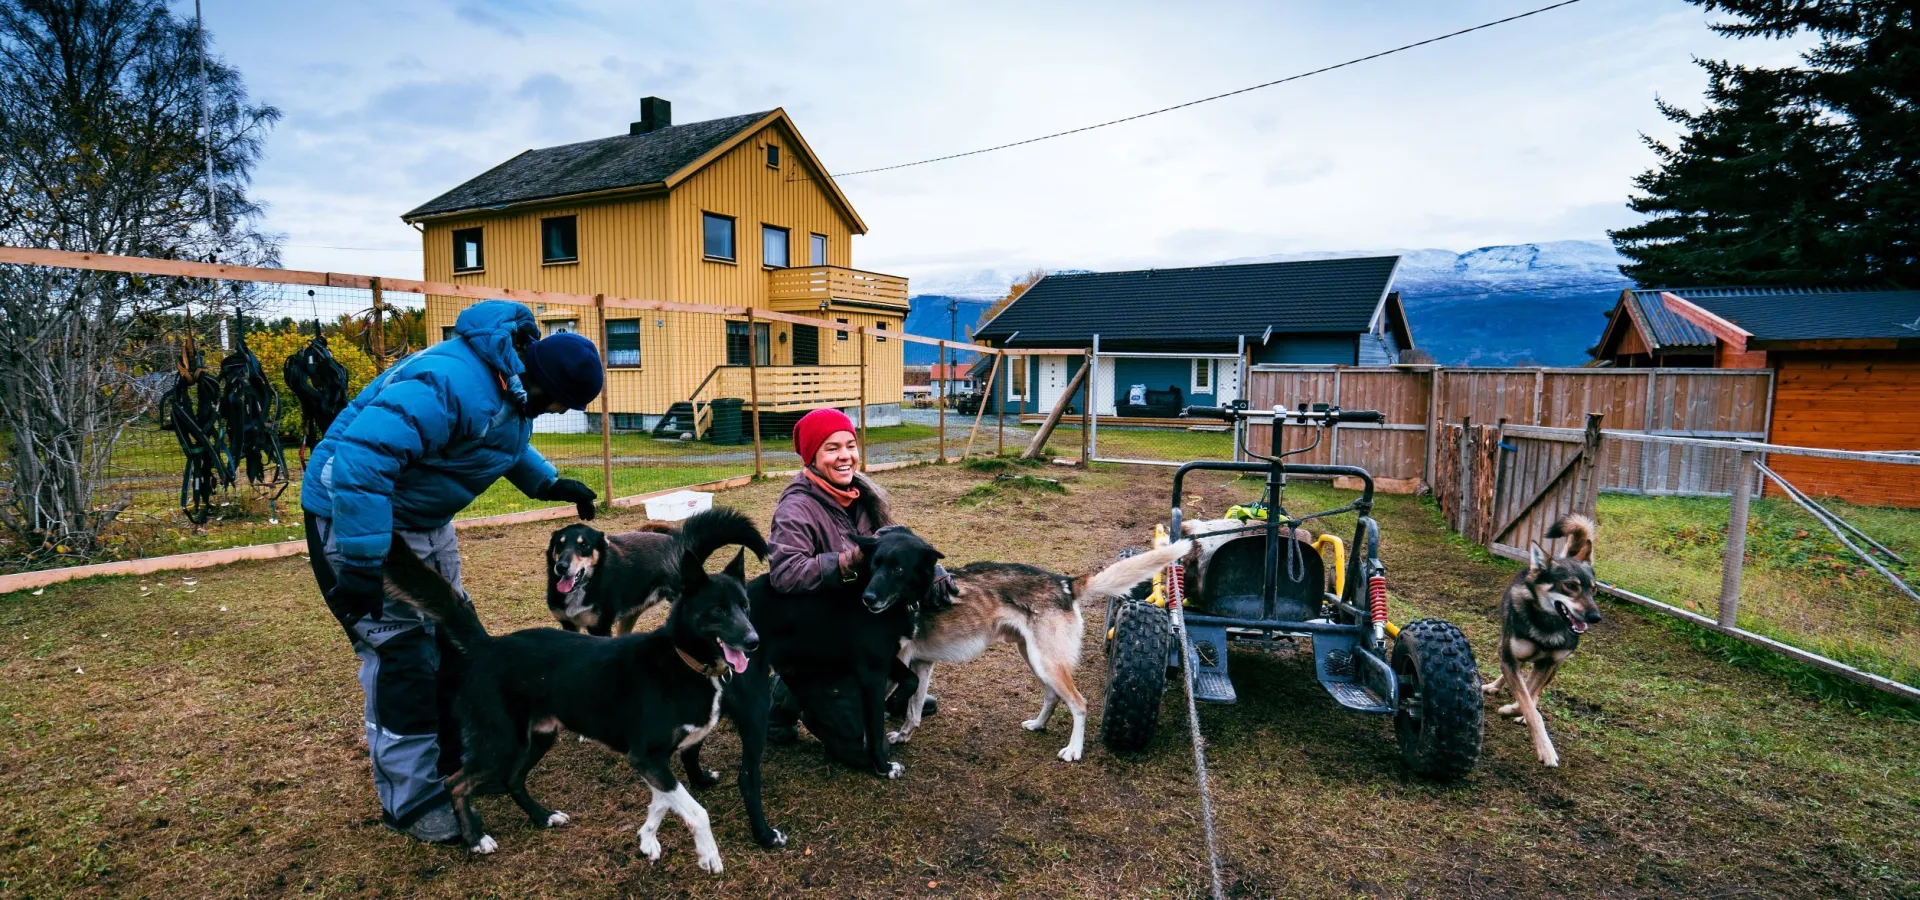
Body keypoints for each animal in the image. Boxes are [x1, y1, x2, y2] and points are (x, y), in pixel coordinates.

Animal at [385, 506, 783, 871]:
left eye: (745, 606)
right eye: (718, 611)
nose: (754, 642)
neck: (682, 659)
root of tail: (489, 645)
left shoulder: (653, 760)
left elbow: (661, 803)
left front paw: (647, 839)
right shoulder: (646, 756)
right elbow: (695, 810)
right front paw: (708, 853)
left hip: (538, 736)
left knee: (512, 779)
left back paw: (542, 816)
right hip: (501, 742)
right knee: (455, 784)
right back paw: (476, 839)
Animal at [883, 541, 1182, 756]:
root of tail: (1065, 583)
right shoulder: (920, 665)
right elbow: (913, 712)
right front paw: (902, 737)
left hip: (1047, 664)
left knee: (1079, 704)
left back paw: (1074, 750)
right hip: (1034, 659)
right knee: (1052, 697)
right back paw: (1038, 725)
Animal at [1482, 510, 1605, 763]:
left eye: (1593, 590)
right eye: (1570, 586)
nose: (1595, 617)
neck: (1547, 625)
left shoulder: (1548, 663)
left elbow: (1529, 698)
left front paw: (1512, 711)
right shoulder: (1510, 657)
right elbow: (1525, 698)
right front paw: (1544, 747)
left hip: (1555, 664)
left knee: (1535, 689)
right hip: (1507, 648)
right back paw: (1494, 686)